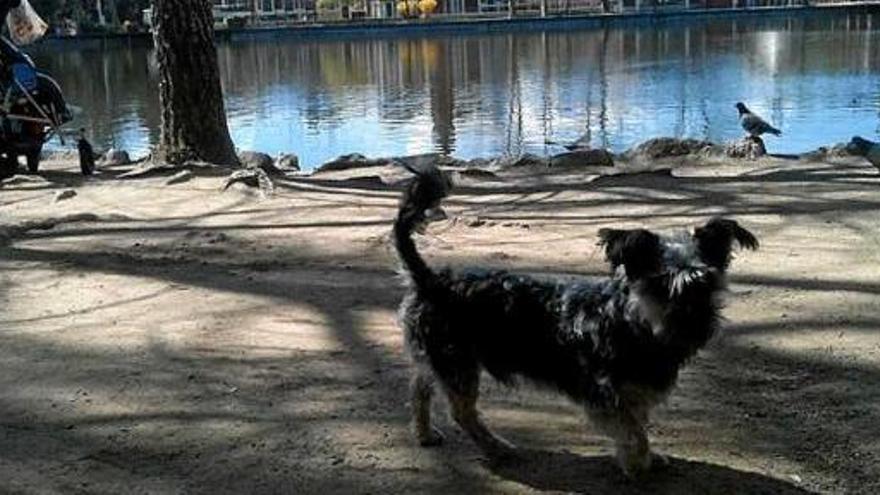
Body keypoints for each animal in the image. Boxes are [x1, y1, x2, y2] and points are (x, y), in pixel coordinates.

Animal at [392, 166, 756, 476]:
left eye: (706, 284)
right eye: (662, 285)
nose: (695, 325)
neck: (634, 323)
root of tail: (430, 279)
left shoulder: (633, 394)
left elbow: (638, 425)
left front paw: (649, 458)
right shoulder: (605, 396)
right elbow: (634, 433)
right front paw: (638, 465)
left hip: (439, 357)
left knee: (419, 386)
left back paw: (424, 433)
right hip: (458, 363)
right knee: (462, 412)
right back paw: (497, 448)